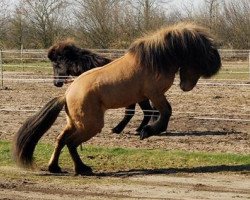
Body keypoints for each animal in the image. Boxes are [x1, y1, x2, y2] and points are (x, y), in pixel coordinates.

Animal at [13, 22, 221, 175]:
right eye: (203, 54)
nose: (186, 86)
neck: (154, 61)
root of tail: (66, 93)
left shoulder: (150, 96)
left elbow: (157, 112)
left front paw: (146, 130)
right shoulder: (154, 94)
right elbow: (166, 112)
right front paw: (148, 131)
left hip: (75, 123)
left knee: (60, 140)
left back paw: (55, 167)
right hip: (90, 125)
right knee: (71, 142)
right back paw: (83, 169)